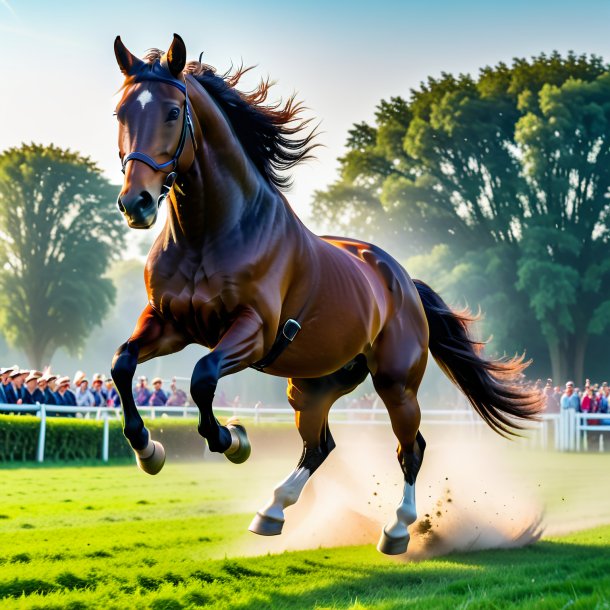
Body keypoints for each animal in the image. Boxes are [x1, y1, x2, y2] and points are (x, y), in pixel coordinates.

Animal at [109, 34, 540, 556]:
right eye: (120, 112)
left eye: (173, 112)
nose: (136, 203)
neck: (209, 235)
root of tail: (402, 281)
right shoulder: (169, 322)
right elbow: (123, 364)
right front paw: (148, 450)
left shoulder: (251, 330)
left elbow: (202, 377)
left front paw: (234, 441)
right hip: (311, 386)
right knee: (320, 446)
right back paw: (272, 511)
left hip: (395, 384)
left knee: (410, 449)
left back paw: (398, 530)